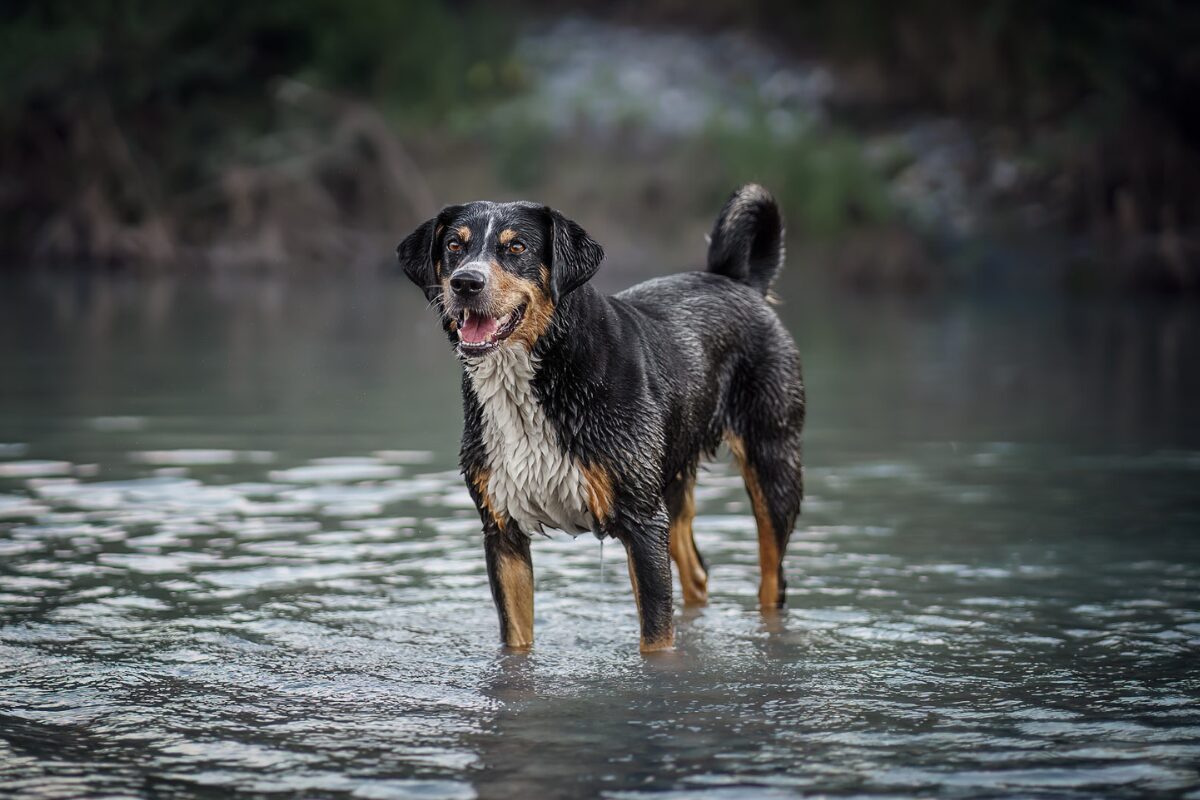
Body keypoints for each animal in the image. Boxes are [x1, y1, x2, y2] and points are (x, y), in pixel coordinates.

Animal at [400, 185, 806, 652]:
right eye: (454, 246)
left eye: (516, 247)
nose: (466, 282)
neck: (537, 379)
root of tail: (737, 280)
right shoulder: (502, 530)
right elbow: (516, 640)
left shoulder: (642, 524)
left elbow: (656, 639)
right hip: (668, 482)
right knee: (697, 575)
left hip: (771, 465)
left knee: (772, 582)